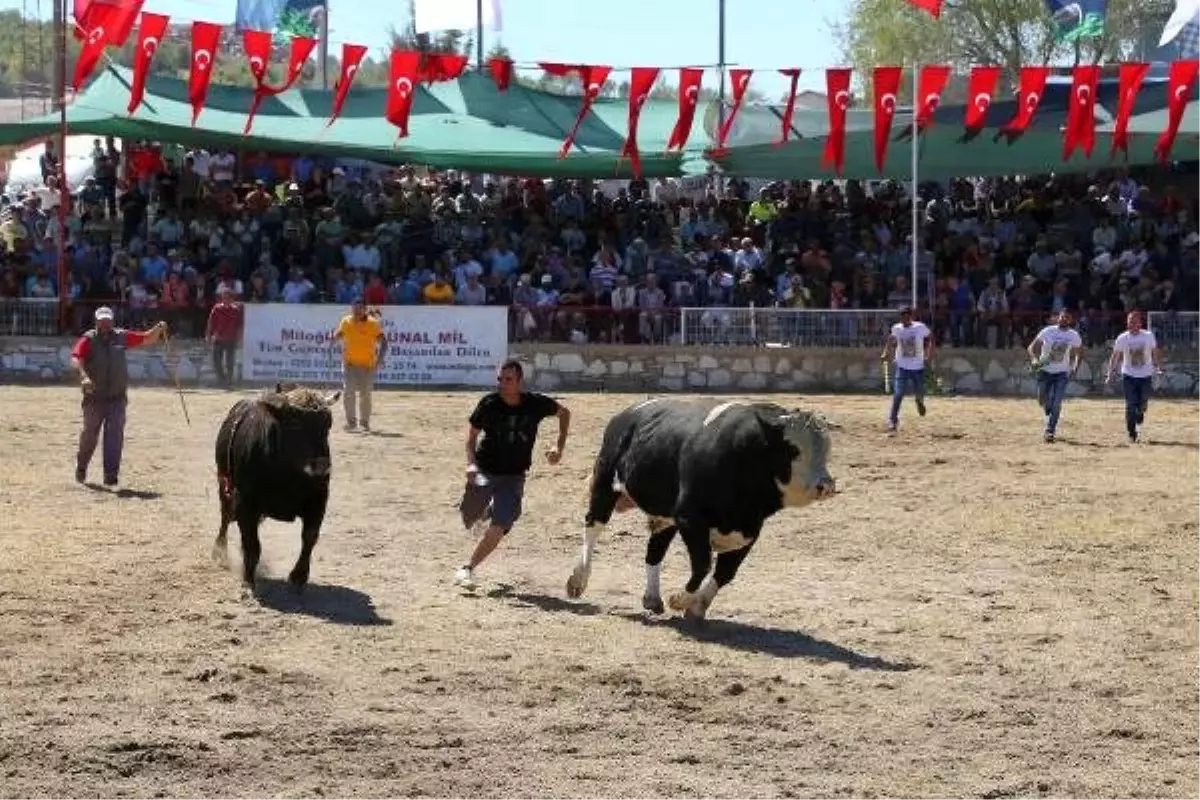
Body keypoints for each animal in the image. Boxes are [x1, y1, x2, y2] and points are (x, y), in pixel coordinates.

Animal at [211, 383, 340, 597]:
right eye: (296, 425)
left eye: (328, 424)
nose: (322, 465)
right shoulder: (245, 503)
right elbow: (252, 544)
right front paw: (248, 582)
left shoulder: (319, 499)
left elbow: (309, 537)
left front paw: (298, 577)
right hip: (224, 485)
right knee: (225, 517)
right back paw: (219, 552)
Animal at [566, 398, 840, 618]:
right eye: (793, 450)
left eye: (827, 449)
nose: (826, 485)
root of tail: (628, 413)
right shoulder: (690, 518)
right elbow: (702, 565)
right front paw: (680, 599)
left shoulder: (750, 530)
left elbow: (726, 573)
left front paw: (698, 606)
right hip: (604, 485)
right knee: (593, 526)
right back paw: (578, 579)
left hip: (664, 516)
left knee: (655, 550)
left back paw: (652, 598)